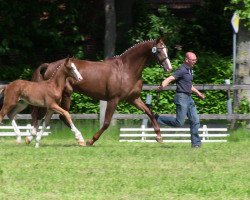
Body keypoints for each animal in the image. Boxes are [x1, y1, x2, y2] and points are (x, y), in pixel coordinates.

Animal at [31, 38, 172, 145]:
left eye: (166, 49)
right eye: (159, 50)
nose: (169, 68)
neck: (126, 69)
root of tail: (50, 65)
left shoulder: (133, 99)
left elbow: (149, 112)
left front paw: (159, 137)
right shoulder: (113, 99)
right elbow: (106, 122)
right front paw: (91, 140)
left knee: (49, 115)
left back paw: (32, 136)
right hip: (65, 94)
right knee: (56, 115)